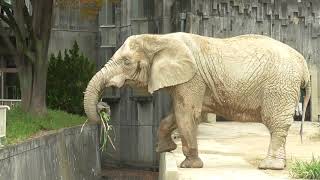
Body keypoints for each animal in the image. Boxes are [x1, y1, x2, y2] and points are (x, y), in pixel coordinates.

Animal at [84, 32, 312, 170]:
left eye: (126, 62)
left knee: (276, 123)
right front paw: (165, 150)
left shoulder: (192, 78)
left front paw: (189, 166)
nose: (104, 106)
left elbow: (186, 113)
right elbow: (177, 115)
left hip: (280, 86)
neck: (159, 38)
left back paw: (269, 166)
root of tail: (304, 65)